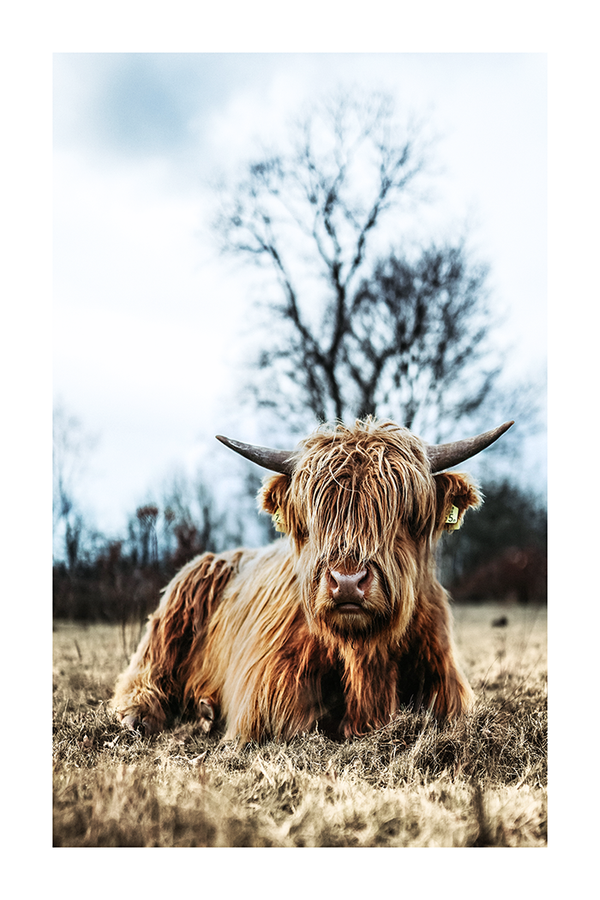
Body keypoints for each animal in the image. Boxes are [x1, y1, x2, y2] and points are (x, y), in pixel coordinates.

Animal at [111, 414, 510, 740]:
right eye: (316, 517)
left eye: (403, 516)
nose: (347, 582)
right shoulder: (268, 698)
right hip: (171, 620)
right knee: (147, 672)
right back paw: (145, 715)